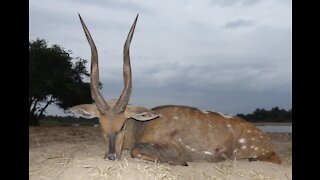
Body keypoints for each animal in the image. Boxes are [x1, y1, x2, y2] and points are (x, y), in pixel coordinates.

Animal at [69, 14, 280, 166]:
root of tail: (264, 137)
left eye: (122, 125)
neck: (141, 127)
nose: (111, 157)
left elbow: (138, 150)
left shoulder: (173, 150)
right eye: (101, 125)